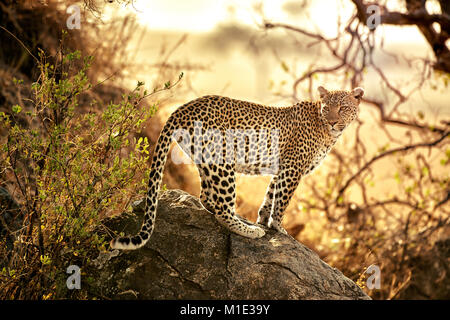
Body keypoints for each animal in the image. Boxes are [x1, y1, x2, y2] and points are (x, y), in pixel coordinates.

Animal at [110, 85, 366, 250]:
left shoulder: (282, 169)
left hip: (206, 160)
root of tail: (182, 108)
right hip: (223, 161)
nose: (333, 121)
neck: (328, 133)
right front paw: (277, 227)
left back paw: (243, 221)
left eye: (343, 108)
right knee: (222, 209)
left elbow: (270, 195)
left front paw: (263, 220)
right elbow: (282, 201)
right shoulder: (292, 169)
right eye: (327, 108)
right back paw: (248, 230)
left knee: (207, 198)